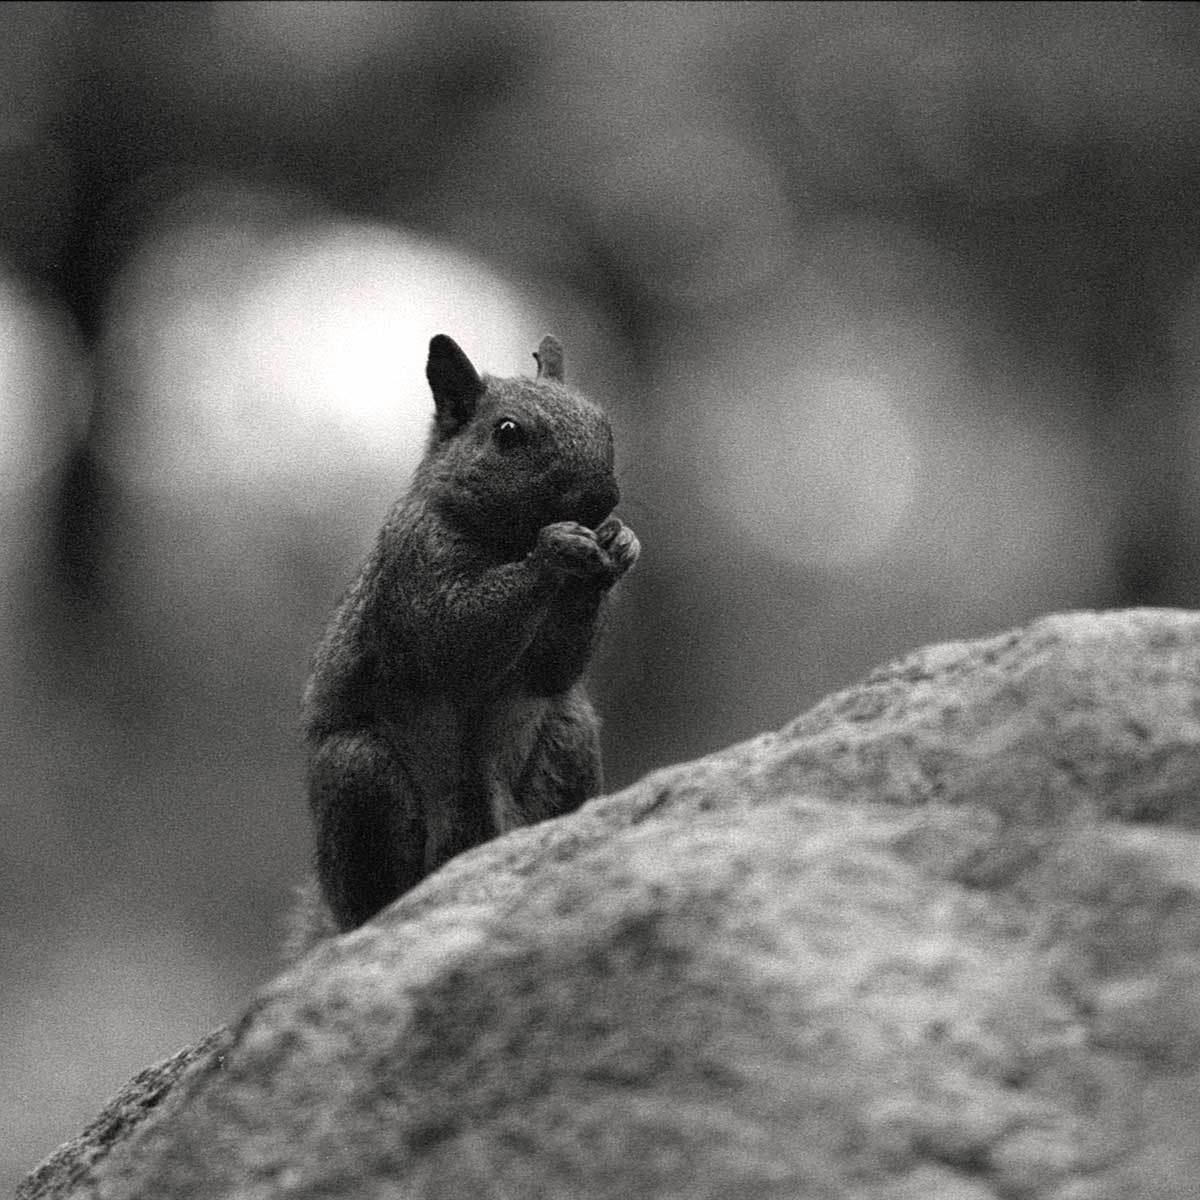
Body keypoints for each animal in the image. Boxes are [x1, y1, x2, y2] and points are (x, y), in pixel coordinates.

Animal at [291, 331, 643, 945]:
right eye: (507, 432)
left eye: (605, 423)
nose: (601, 498)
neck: (505, 540)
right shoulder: (414, 576)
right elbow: (455, 637)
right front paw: (556, 550)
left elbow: (553, 670)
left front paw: (618, 545)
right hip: (359, 775)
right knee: (378, 894)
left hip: (567, 743)